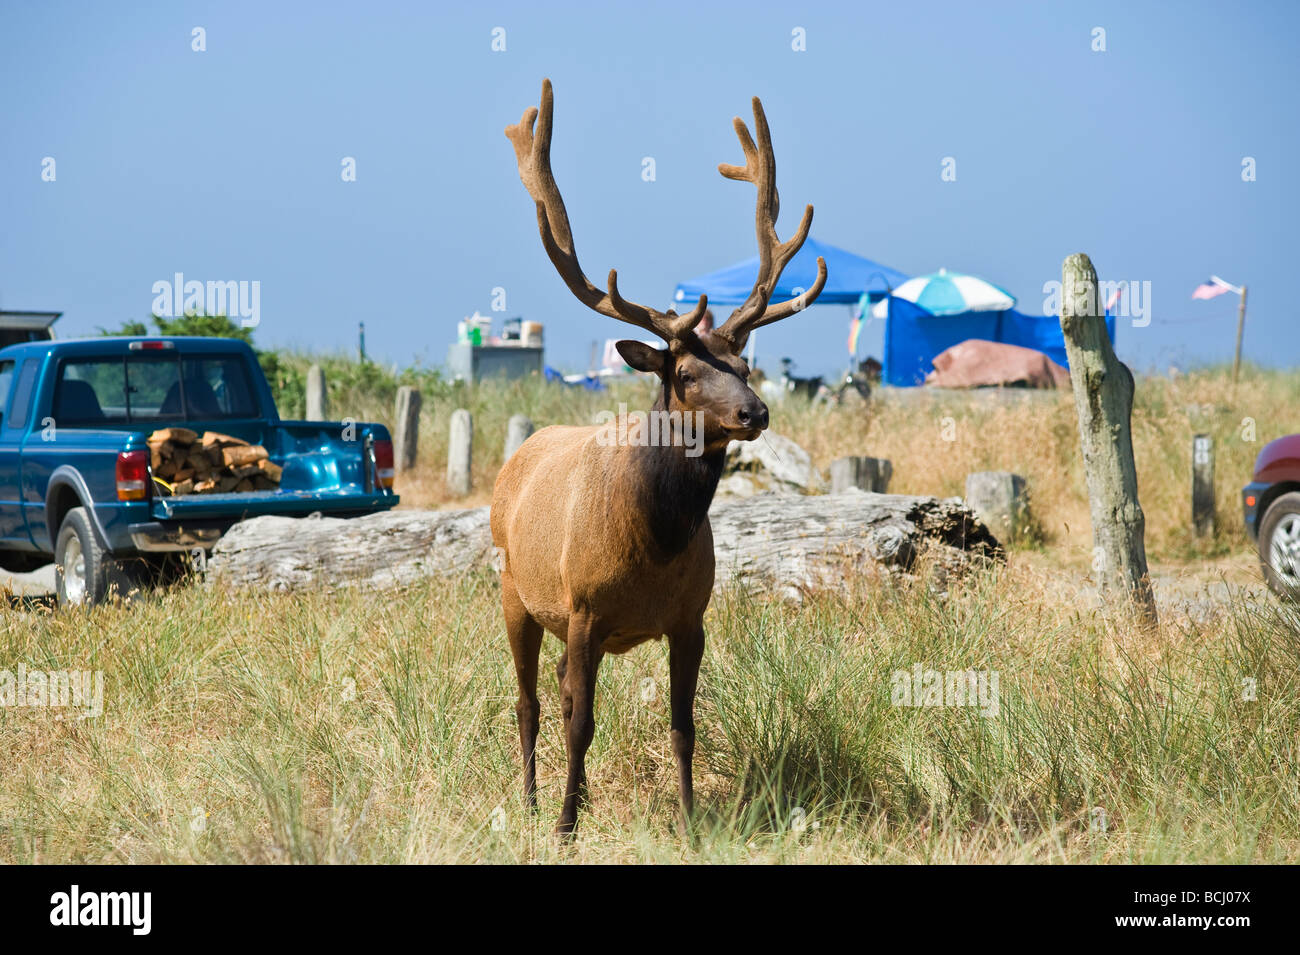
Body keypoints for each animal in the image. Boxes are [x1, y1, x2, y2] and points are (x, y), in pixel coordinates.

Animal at [491, 78, 826, 831]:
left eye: (744, 364)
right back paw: (531, 800)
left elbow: (683, 726)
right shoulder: (584, 609)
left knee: (559, 694)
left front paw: (692, 821)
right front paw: (566, 827)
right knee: (530, 702)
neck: (652, 544)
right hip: (515, 590)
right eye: (688, 374)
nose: (756, 412)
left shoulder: (689, 618)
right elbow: (581, 725)